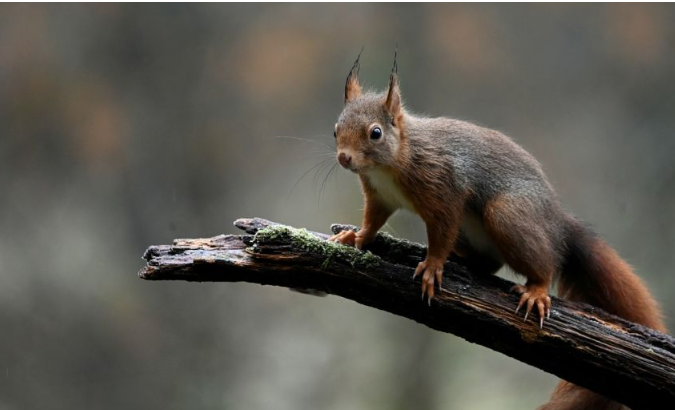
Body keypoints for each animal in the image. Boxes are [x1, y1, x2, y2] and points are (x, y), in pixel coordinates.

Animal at [328, 51, 664, 410]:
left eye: (375, 133)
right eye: (335, 130)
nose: (344, 158)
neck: (393, 161)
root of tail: (557, 224)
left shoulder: (445, 189)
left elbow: (441, 231)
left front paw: (433, 266)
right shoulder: (379, 196)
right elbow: (373, 221)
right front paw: (355, 236)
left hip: (507, 216)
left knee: (544, 263)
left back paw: (536, 289)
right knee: (490, 263)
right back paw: (464, 260)